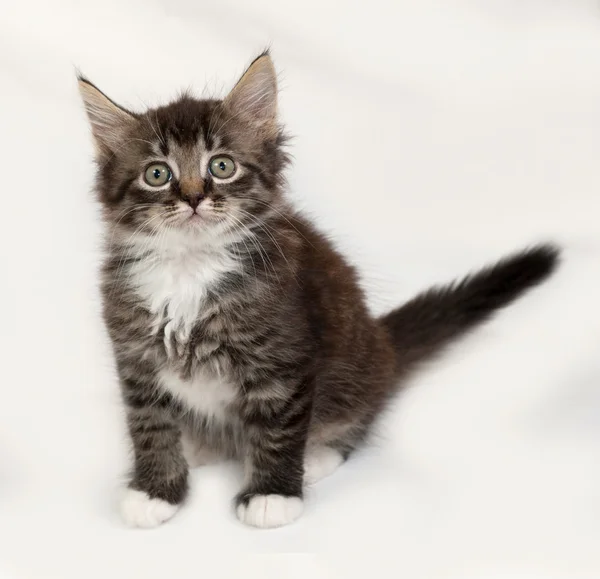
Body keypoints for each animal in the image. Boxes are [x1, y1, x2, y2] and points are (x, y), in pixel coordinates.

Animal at [77, 52, 560, 528]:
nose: (194, 198)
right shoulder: (135, 358)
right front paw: (154, 491)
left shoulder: (283, 359)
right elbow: (150, 427)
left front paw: (272, 495)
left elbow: (278, 429)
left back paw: (317, 454)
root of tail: (383, 340)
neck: (190, 268)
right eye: (157, 174)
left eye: (222, 166)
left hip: (355, 372)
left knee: (355, 423)